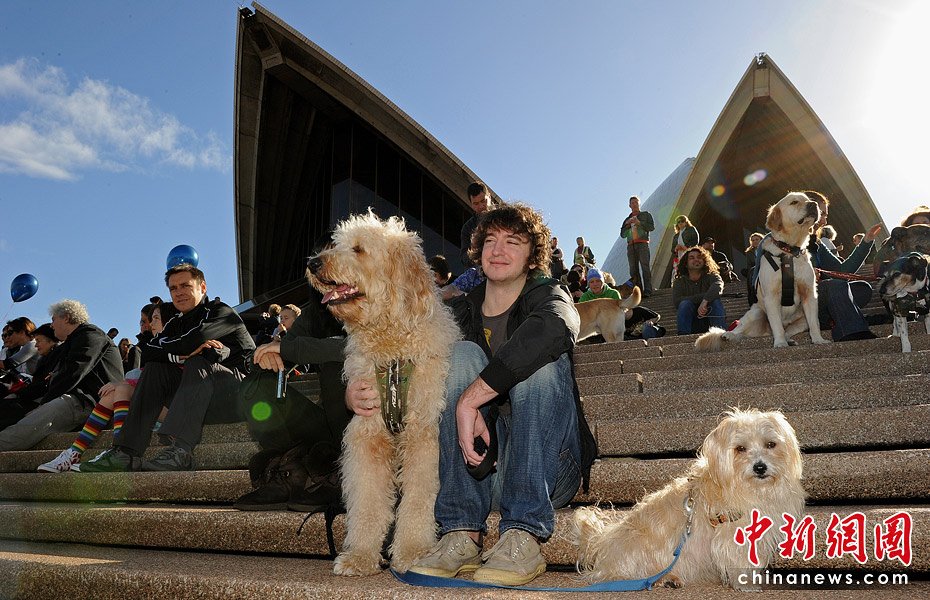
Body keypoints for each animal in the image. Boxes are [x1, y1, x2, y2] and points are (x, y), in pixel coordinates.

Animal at [308, 213, 460, 576]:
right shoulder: (368, 436)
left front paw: (413, 553)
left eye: (359, 249)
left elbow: (418, 500)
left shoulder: (424, 436)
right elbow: (367, 500)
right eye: (336, 243)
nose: (313, 262)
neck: (392, 349)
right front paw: (361, 556)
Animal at [568, 408, 800, 592]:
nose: (760, 467)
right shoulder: (731, 533)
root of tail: (601, 542)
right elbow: (738, 558)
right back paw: (664, 578)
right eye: (740, 449)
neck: (750, 487)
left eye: (771, 444)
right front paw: (747, 584)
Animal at [692, 192, 832, 352]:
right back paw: (728, 335)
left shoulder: (809, 293)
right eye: (794, 202)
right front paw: (780, 343)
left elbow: (814, 323)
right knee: (740, 330)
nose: (814, 205)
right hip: (756, 312)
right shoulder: (771, 296)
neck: (788, 251)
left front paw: (818, 340)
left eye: (809, 200)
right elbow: (777, 325)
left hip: (801, 321)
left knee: (788, 331)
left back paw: (789, 340)